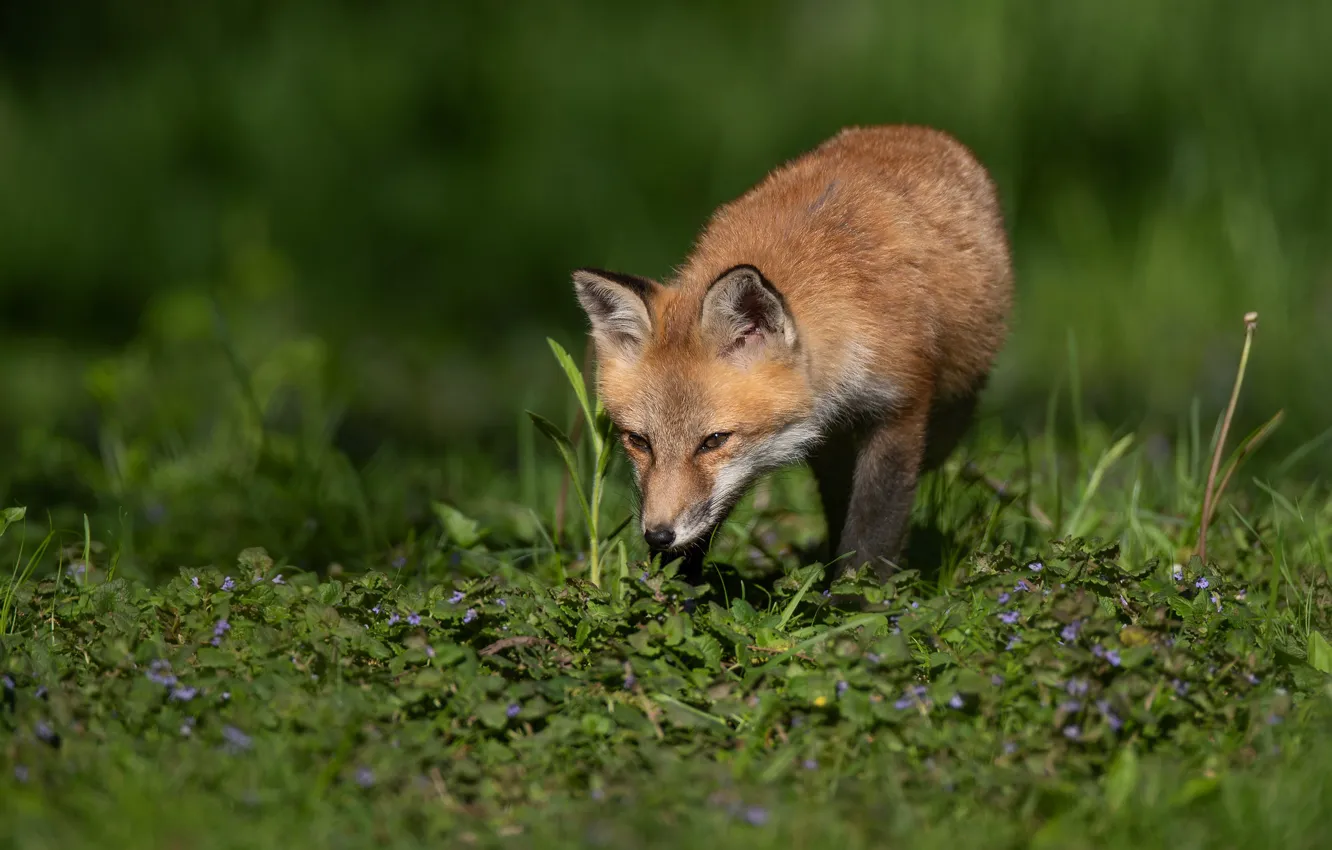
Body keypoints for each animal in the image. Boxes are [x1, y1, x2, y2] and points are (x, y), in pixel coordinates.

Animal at [572, 125, 1013, 582]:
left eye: (714, 441)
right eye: (638, 441)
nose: (658, 535)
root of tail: (910, 129)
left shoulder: (899, 408)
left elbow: (874, 528)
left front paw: (855, 596)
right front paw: (669, 591)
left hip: (948, 415)